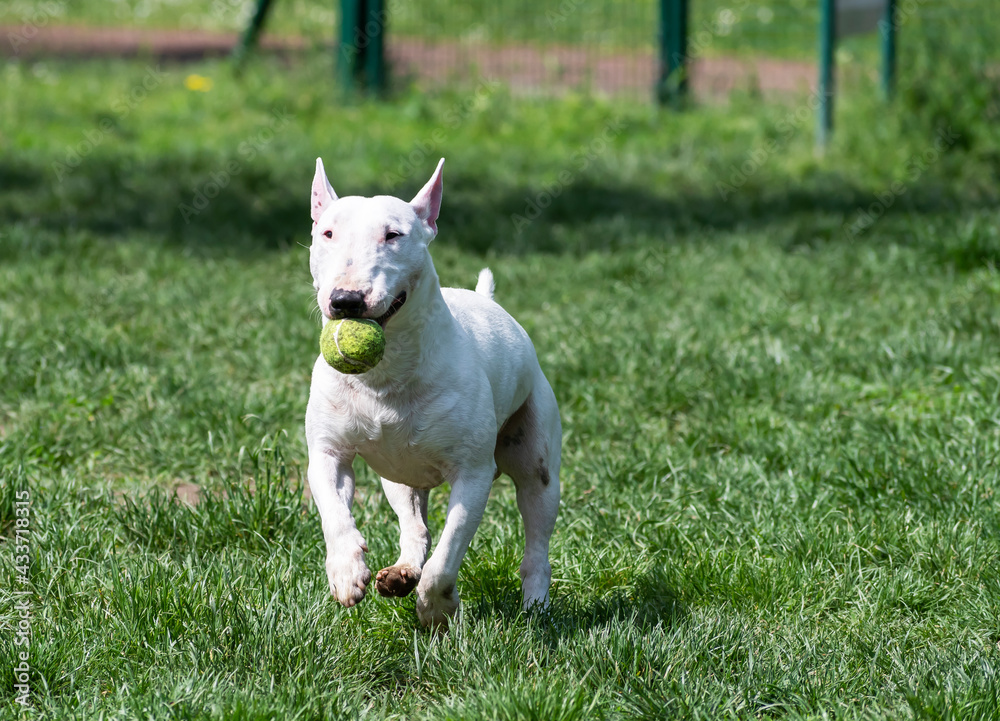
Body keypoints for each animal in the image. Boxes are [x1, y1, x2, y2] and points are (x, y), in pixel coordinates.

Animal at [304, 156, 560, 624]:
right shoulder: (329, 452)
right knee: (414, 525)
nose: (346, 300)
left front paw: (437, 607)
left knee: (536, 533)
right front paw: (347, 572)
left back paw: (535, 607)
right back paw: (401, 572)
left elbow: (447, 555)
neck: (385, 376)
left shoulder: (473, 472)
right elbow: (333, 509)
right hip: (399, 474)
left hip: (536, 453)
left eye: (393, 235)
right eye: (327, 233)